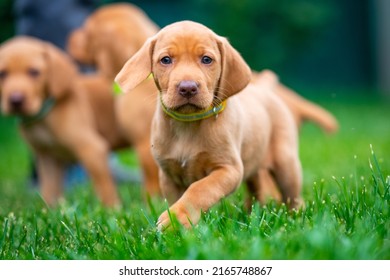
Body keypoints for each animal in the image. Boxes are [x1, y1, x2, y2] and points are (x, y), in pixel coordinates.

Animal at [0, 36, 129, 207]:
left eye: (34, 72)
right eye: (2, 74)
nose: (16, 100)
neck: (44, 117)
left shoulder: (92, 149)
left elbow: (104, 185)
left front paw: (112, 208)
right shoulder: (47, 158)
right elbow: (49, 189)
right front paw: (49, 209)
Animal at [115, 20, 302, 229]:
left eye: (206, 59)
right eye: (165, 60)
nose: (188, 88)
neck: (188, 124)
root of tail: (263, 90)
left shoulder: (229, 169)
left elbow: (200, 189)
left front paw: (177, 218)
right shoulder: (168, 176)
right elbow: (176, 198)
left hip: (286, 165)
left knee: (293, 197)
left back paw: (294, 217)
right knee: (256, 190)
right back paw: (251, 214)